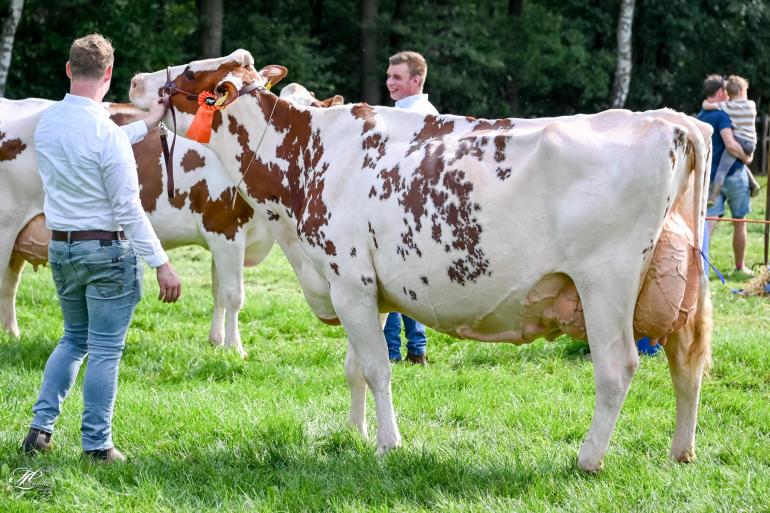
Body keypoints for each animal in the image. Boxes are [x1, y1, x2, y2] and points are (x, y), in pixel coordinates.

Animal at [1, 84, 340, 356]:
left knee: (10, 282)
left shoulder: (222, 237)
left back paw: (12, 333)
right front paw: (236, 348)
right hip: (5, 227)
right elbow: (233, 295)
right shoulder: (225, 230)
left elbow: (218, 291)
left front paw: (216, 341)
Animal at [129, 50, 712, 470]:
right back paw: (680, 454)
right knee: (689, 364)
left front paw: (388, 444)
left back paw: (588, 459)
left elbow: (377, 368)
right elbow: (354, 369)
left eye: (190, 70)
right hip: (683, 287)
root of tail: (667, 120)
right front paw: (354, 433)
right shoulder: (361, 286)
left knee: (617, 368)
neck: (310, 156)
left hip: (605, 283)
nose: (134, 81)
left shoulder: (349, 281)